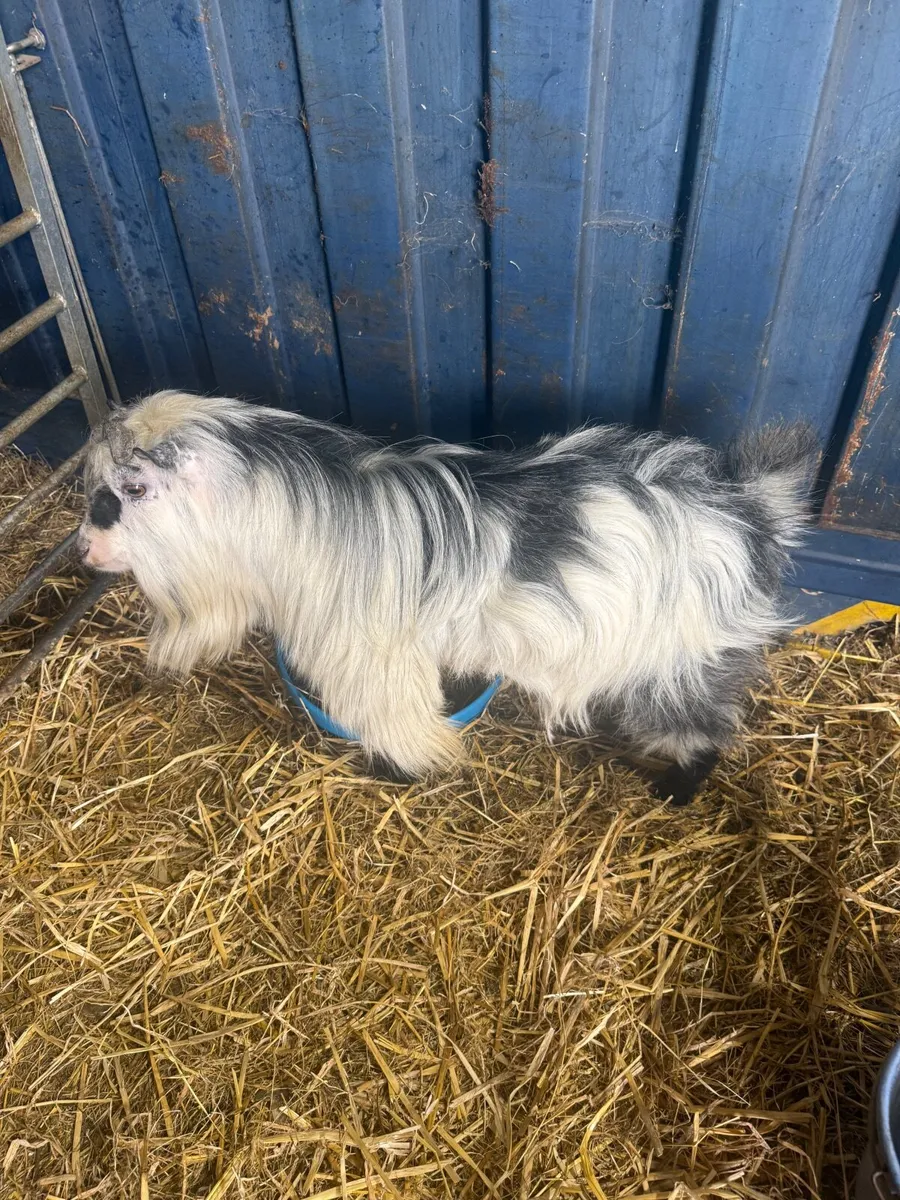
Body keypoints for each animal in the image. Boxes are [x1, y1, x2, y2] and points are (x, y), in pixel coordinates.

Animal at [78, 391, 818, 804]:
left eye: (128, 491)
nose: (85, 547)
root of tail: (751, 509)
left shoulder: (372, 663)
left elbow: (397, 723)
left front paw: (406, 772)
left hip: (680, 661)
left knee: (703, 729)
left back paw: (673, 793)